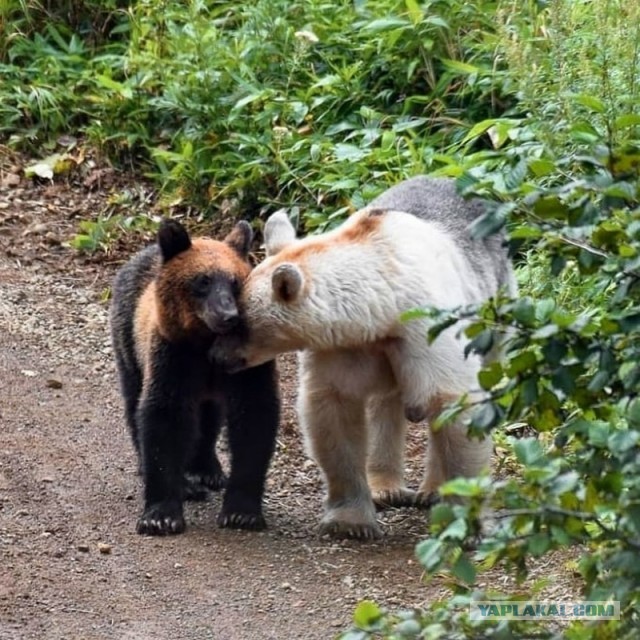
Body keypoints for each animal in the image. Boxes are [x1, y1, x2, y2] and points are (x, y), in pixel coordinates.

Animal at [212, 176, 516, 540]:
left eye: (238, 322)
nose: (216, 357)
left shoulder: (427, 330)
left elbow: (452, 402)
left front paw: (468, 522)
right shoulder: (345, 345)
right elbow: (335, 411)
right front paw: (350, 521)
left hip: (496, 300)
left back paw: (429, 490)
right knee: (386, 403)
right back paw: (386, 487)